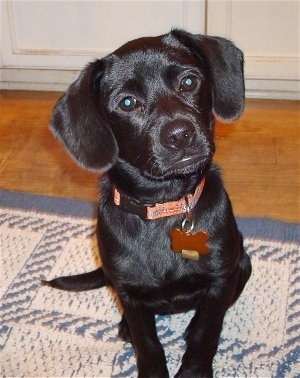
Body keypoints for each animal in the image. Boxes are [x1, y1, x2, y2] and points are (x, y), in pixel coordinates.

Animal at [44, 29, 251, 378]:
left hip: (242, 263)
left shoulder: (221, 278)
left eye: (188, 82)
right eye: (128, 102)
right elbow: (148, 344)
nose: (180, 134)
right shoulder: (130, 292)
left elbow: (206, 333)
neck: (164, 205)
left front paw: (194, 369)